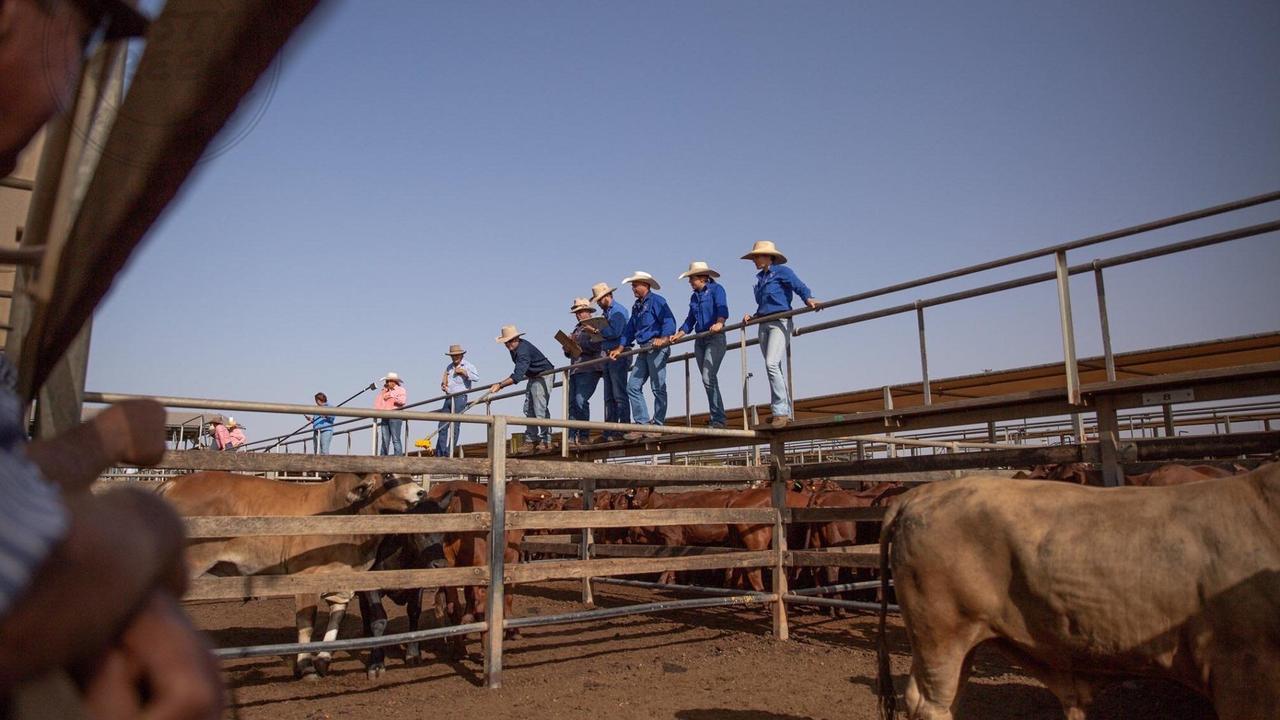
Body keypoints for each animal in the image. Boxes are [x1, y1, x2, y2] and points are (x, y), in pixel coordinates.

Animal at [157, 471, 427, 676]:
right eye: (389, 476)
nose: (421, 492)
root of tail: (174, 482)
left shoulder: (342, 581)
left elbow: (336, 617)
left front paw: (323, 660)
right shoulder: (306, 579)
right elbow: (306, 623)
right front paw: (305, 665)